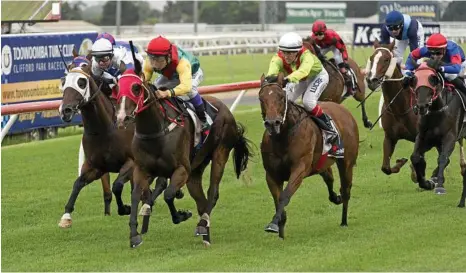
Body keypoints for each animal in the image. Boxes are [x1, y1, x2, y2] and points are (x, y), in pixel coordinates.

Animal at [115, 57, 253, 246]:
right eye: (116, 88)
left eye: (136, 88)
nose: (122, 118)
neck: (156, 132)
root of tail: (225, 110)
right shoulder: (142, 169)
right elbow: (136, 195)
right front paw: (135, 234)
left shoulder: (181, 169)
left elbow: (168, 194)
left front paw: (181, 215)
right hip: (196, 169)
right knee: (201, 200)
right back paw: (206, 236)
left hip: (220, 154)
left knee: (212, 193)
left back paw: (202, 225)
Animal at [260, 72, 358, 238]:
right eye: (261, 98)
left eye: (281, 97)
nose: (273, 123)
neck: (283, 137)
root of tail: (344, 110)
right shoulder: (272, 175)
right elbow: (278, 200)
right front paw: (279, 231)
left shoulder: (299, 169)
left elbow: (284, 196)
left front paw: (273, 224)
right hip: (321, 163)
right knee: (329, 178)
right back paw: (335, 198)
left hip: (347, 162)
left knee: (345, 190)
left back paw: (344, 221)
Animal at [410, 61, 464, 206]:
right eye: (414, 79)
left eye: (432, 79)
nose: (421, 106)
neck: (436, 111)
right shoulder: (424, 137)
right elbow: (415, 157)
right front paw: (427, 183)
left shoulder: (450, 137)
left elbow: (443, 158)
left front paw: (439, 185)